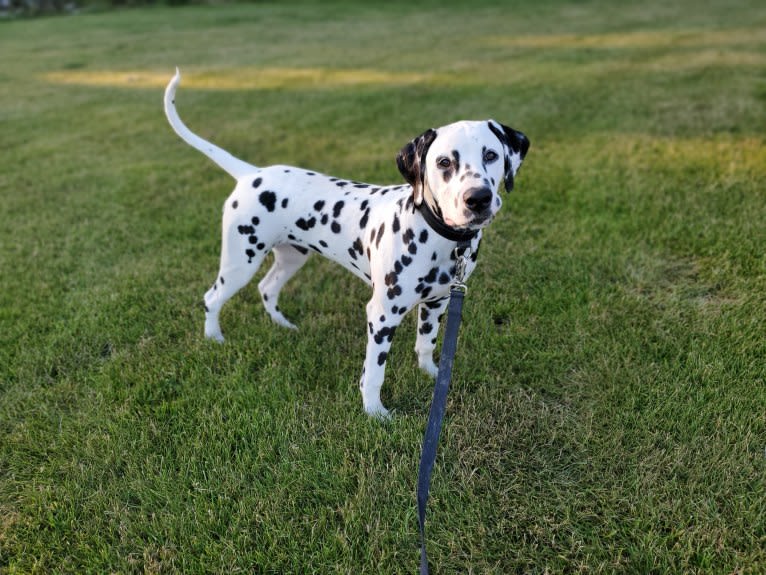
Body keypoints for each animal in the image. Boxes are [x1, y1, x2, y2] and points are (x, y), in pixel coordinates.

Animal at [165, 70, 532, 416]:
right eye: (444, 162)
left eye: (491, 155)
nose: (479, 198)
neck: (436, 236)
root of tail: (251, 173)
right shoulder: (382, 316)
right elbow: (374, 373)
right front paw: (375, 412)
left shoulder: (438, 302)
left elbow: (426, 343)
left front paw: (432, 376)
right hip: (241, 260)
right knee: (212, 297)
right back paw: (214, 337)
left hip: (291, 257)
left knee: (266, 288)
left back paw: (283, 325)